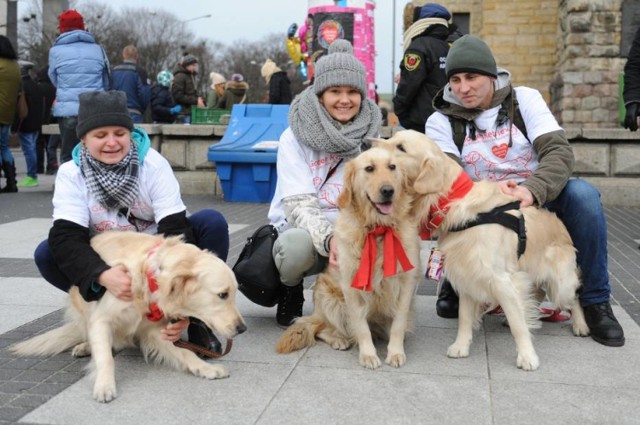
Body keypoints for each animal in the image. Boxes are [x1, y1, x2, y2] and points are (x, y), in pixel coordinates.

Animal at [13, 232, 248, 400]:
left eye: (235, 292)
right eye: (222, 294)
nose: (242, 329)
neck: (149, 278)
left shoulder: (154, 330)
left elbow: (185, 352)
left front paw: (206, 368)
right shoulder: (102, 319)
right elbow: (105, 358)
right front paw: (104, 385)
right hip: (79, 304)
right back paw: (85, 346)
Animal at [274, 146, 420, 368]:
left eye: (392, 167)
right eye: (369, 168)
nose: (388, 191)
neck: (377, 228)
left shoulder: (405, 284)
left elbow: (398, 324)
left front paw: (395, 352)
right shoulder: (352, 287)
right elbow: (361, 327)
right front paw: (368, 355)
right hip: (329, 298)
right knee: (322, 329)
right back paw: (338, 339)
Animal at [376, 130, 592, 372]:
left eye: (401, 148)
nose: (368, 142)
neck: (455, 203)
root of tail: (560, 224)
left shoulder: (502, 279)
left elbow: (518, 324)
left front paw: (527, 356)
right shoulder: (467, 275)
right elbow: (464, 317)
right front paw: (461, 346)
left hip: (560, 282)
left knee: (574, 295)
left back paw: (580, 325)